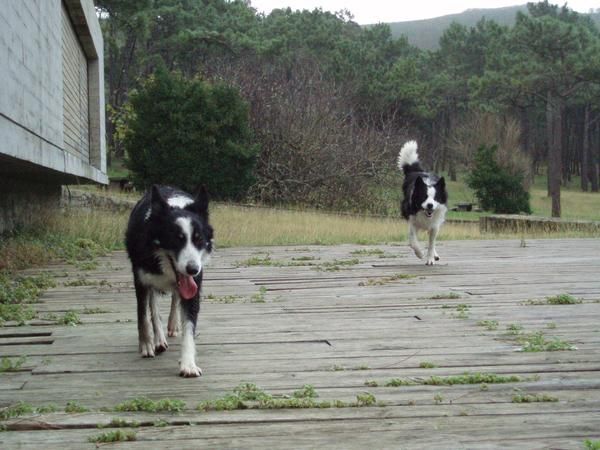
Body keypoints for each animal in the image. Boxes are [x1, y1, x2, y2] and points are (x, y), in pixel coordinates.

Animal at [124, 184, 213, 376]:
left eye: (199, 239)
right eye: (176, 240)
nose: (192, 269)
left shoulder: (195, 282)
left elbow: (189, 325)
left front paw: (188, 364)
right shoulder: (141, 278)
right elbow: (143, 314)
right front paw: (146, 344)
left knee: (175, 297)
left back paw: (172, 324)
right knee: (153, 306)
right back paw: (158, 339)